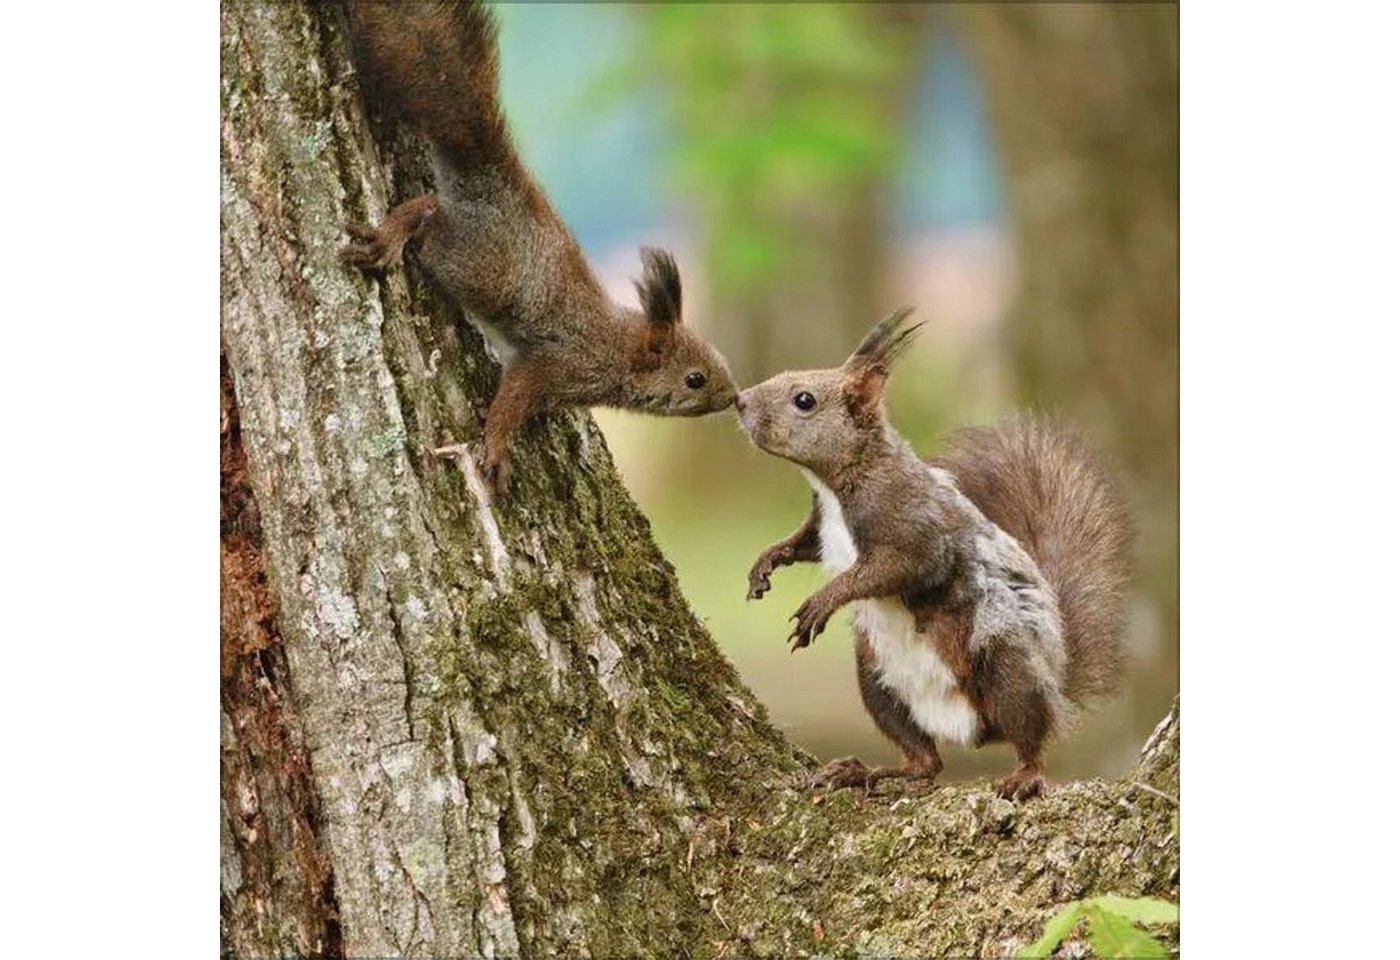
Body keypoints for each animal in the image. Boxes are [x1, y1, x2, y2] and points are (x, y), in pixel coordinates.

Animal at [341, 0, 738, 497]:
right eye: (695, 379)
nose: (734, 397)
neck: (620, 347)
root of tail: (487, 177)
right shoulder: (558, 363)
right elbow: (514, 397)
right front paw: (496, 449)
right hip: (478, 265)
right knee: (429, 215)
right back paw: (389, 236)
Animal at [737, 309, 1131, 799]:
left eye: (804, 400)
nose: (740, 402)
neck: (837, 483)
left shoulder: (914, 530)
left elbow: (892, 569)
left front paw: (820, 603)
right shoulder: (821, 525)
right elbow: (802, 543)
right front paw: (766, 562)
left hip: (1005, 664)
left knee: (1030, 735)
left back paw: (1025, 775)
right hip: (877, 682)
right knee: (926, 761)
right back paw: (866, 771)